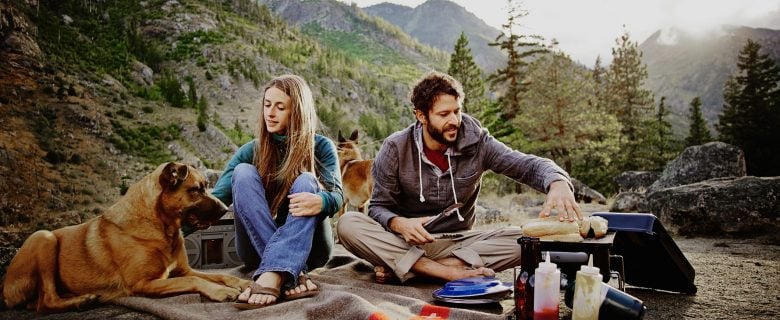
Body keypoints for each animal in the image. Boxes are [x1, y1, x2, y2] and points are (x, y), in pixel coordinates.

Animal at [0, 162, 250, 312]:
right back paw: (82, 300)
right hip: (43, 237)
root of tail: (6, 288)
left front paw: (241, 282)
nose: (224, 209)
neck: (161, 226)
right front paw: (222, 291)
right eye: (196, 189)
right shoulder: (144, 283)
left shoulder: (183, 270)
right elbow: (194, 281)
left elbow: (218, 275)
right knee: (46, 302)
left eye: (206, 186)